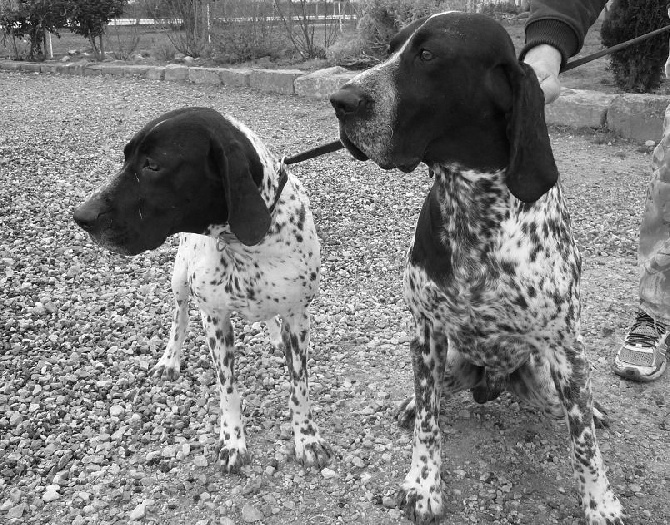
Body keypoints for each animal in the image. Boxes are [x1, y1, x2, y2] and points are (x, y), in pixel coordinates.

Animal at [75, 106, 332, 470]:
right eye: (126, 157)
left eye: (152, 164)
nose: (80, 215)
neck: (244, 243)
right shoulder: (215, 319)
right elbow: (228, 389)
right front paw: (233, 440)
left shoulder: (298, 317)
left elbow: (299, 389)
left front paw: (307, 438)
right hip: (180, 279)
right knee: (179, 319)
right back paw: (170, 359)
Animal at [330, 12, 624, 524]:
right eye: (390, 48)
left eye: (428, 55)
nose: (339, 100)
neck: (473, 206)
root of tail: (492, 384)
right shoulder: (425, 333)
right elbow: (429, 422)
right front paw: (423, 483)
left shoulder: (566, 350)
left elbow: (584, 443)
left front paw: (600, 502)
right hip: (447, 360)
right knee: (431, 395)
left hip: (547, 378)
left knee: (578, 410)